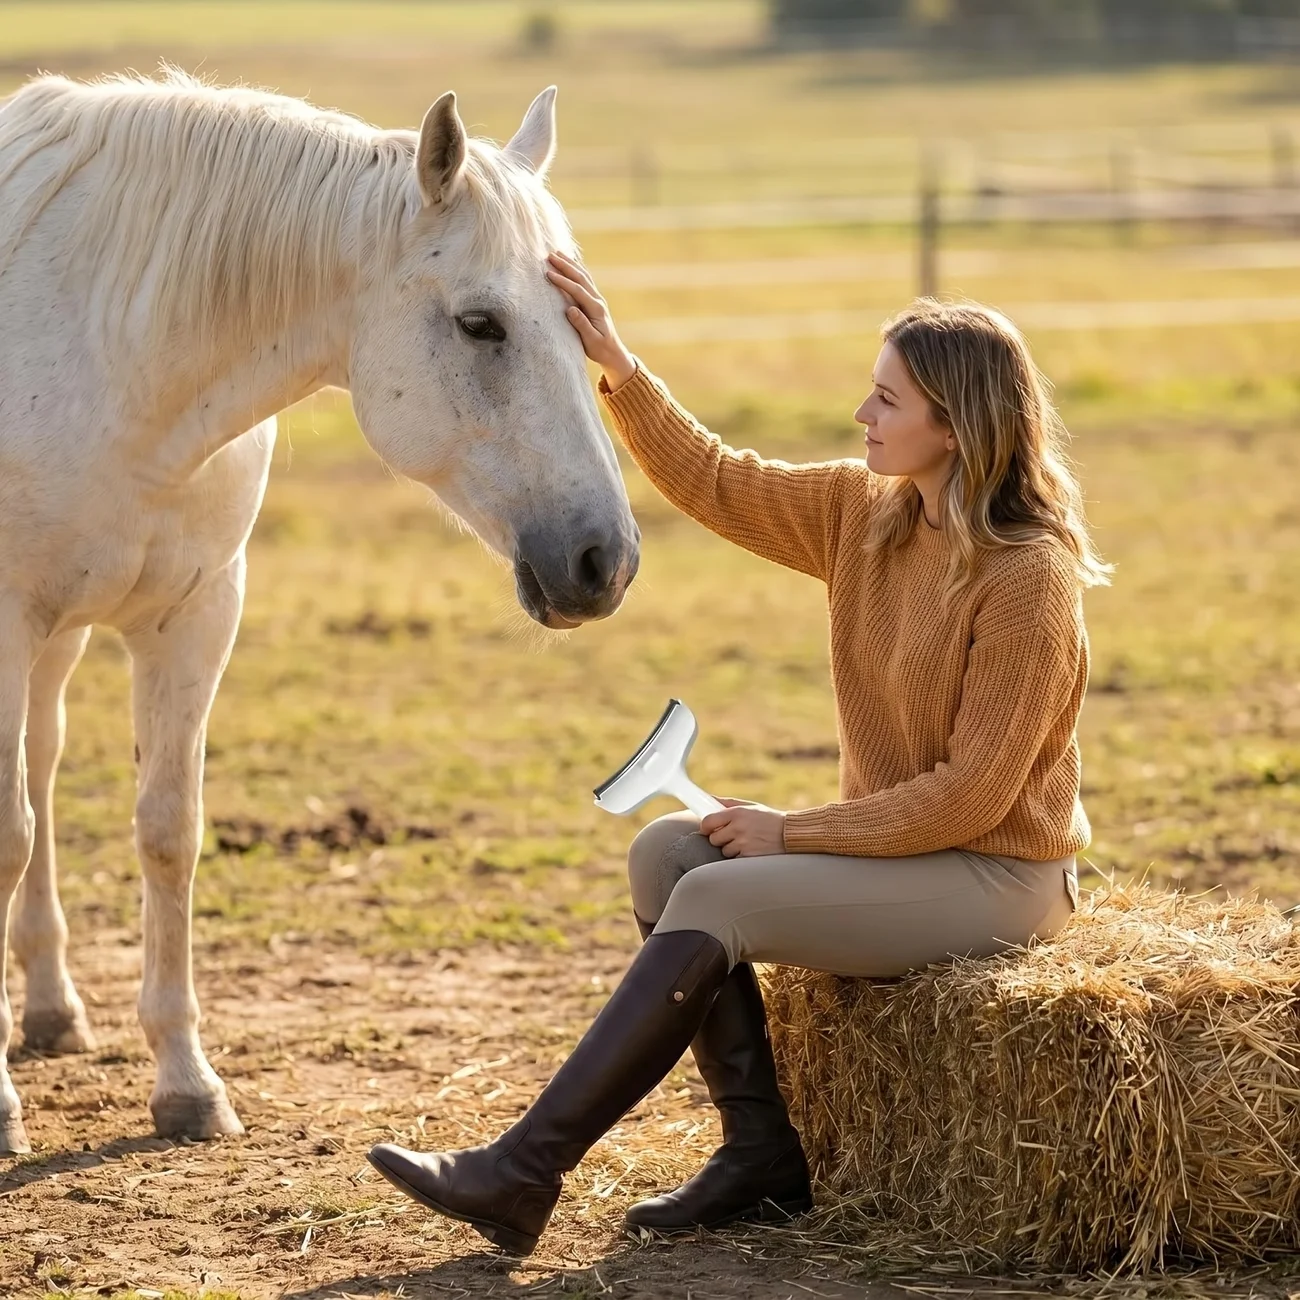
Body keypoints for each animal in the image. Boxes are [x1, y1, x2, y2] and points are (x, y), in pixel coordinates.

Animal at [0, 70, 640, 1155]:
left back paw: (50, 1009)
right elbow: (7, 831)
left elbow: (168, 831)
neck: (100, 349)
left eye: (580, 314)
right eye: (481, 323)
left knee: (44, 766)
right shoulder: (10, 621)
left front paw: (186, 1085)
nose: (606, 560)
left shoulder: (195, 616)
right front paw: (1, 1109)